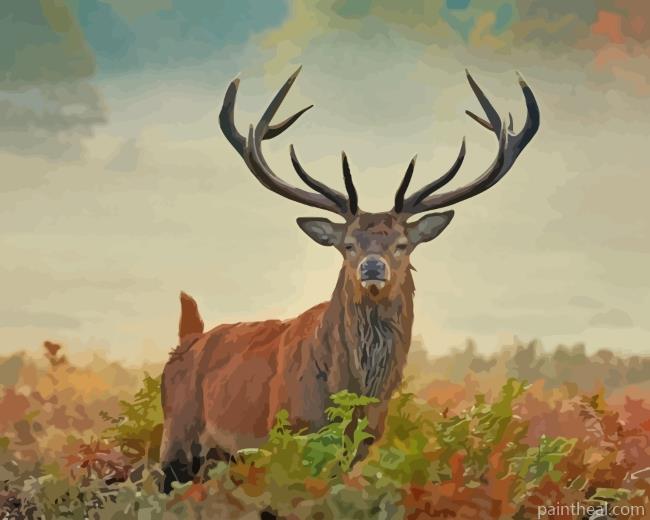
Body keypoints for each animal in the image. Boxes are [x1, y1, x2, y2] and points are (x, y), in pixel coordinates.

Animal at [160, 67, 540, 492]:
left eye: (403, 244)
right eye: (347, 244)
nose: (372, 268)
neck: (351, 393)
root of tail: (187, 339)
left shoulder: (359, 447)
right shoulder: (287, 435)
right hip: (177, 437)